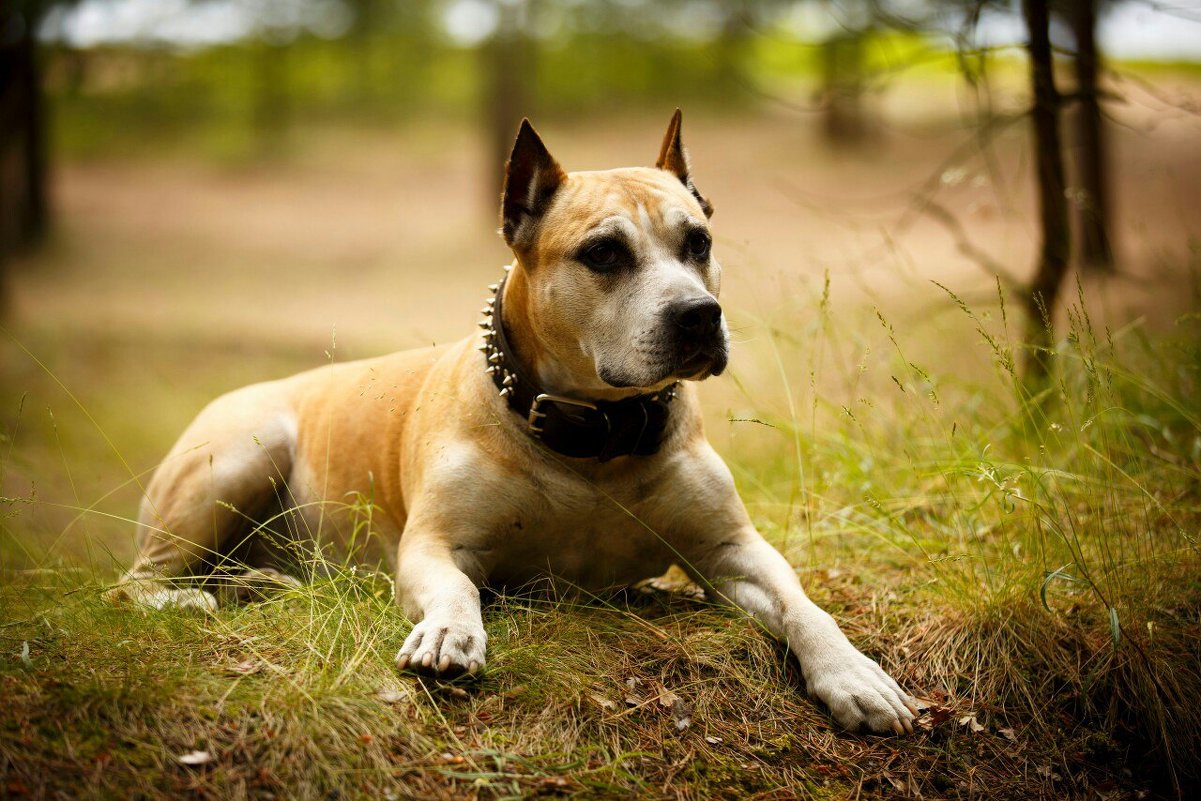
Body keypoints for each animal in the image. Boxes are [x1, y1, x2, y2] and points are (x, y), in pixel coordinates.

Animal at [110, 109, 917, 734]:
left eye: (698, 242)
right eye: (603, 253)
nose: (698, 314)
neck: (593, 433)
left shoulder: (732, 549)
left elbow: (804, 606)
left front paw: (854, 674)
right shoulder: (436, 545)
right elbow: (457, 588)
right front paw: (449, 632)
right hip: (241, 454)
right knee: (129, 585)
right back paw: (195, 593)